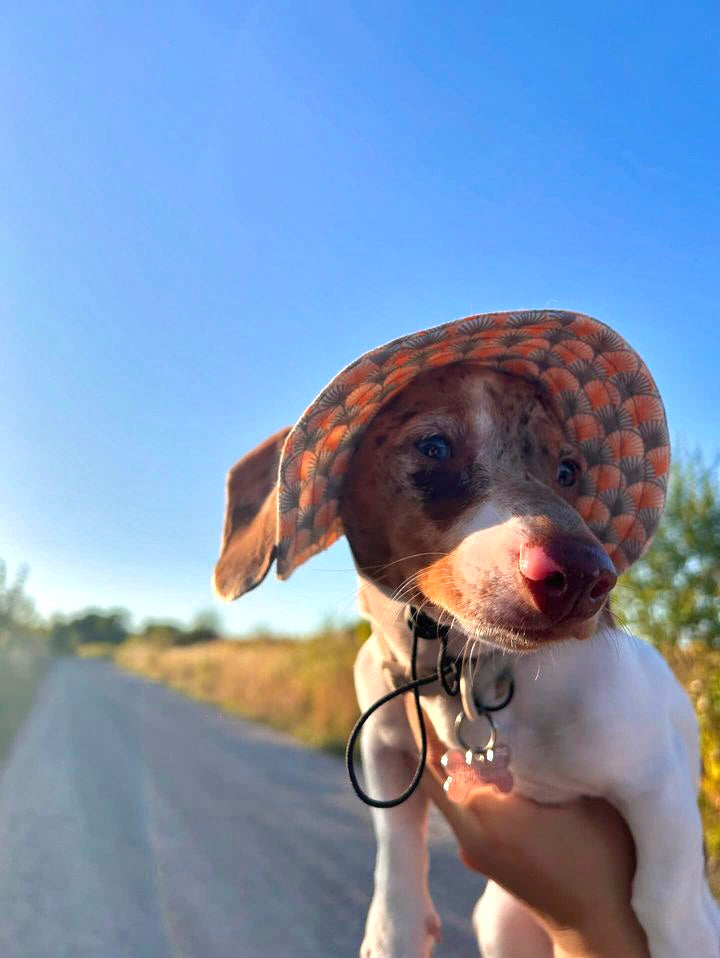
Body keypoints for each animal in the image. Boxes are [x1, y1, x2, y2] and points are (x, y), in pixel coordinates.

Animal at [214, 312, 720, 956]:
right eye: (433, 446)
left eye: (568, 470)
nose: (588, 577)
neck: (467, 675)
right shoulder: (383, 739)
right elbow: (394, 840)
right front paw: (394, 926)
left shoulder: (661, 784)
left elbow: (664, 897)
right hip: (499, 923)